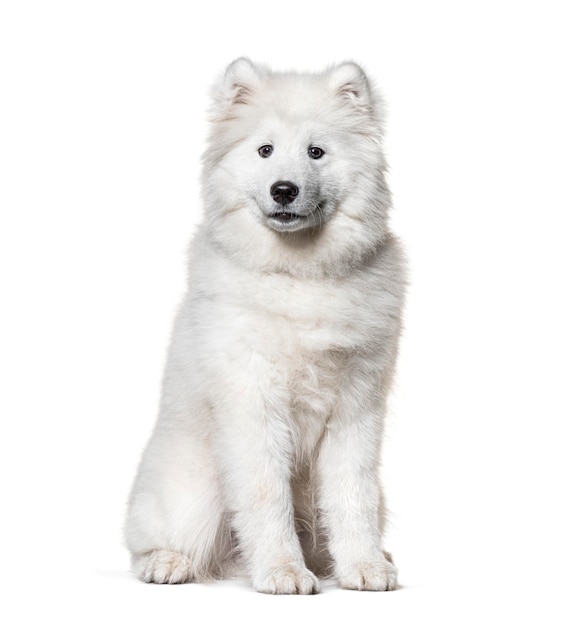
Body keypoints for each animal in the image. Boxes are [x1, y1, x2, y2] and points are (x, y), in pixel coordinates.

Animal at [123, 57, 406, 588]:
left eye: (316, 152)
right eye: (265, 150)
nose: (284, 190)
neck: (300, 274)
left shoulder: (356, 409)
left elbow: (352, 496)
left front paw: (364, 566)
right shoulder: (254, 407)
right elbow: (266, 499)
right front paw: (282, 571)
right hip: (194, 487)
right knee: (153, 539)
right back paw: (168, 563)